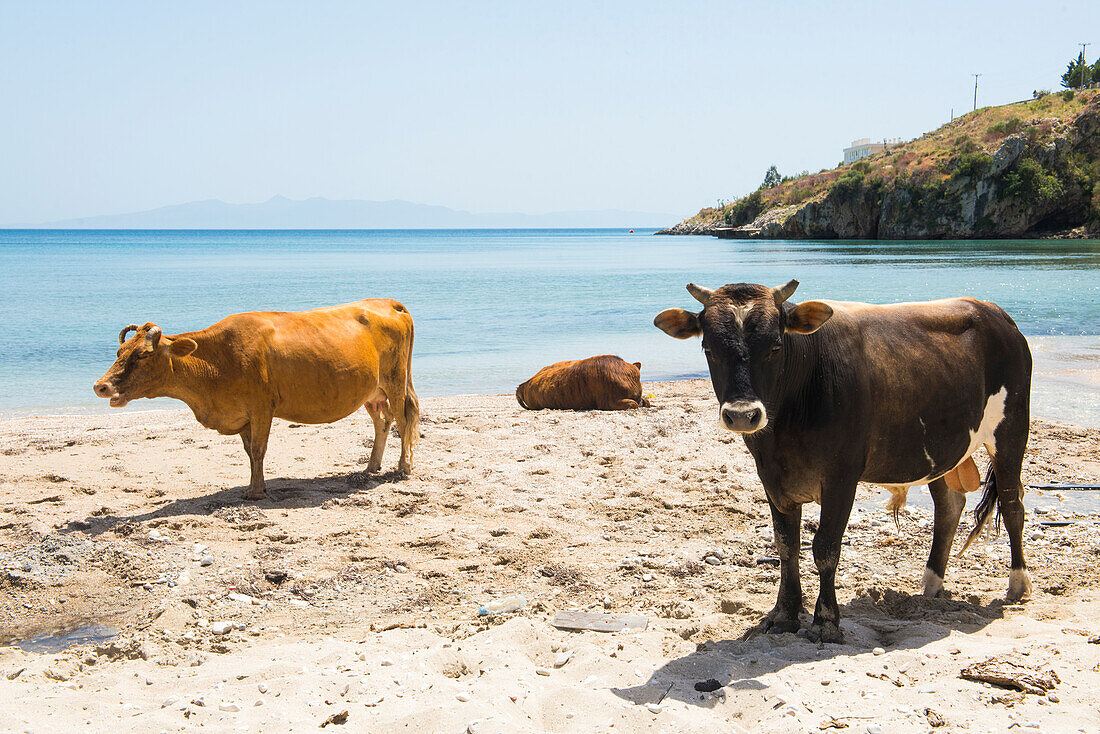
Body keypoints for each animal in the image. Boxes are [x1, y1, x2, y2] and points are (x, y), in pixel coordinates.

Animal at [92, 299, 418, 499]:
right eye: (119, 352)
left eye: (142, 355)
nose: (100, 386)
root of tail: (387, 302)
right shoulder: (243, 415)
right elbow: (250, 452)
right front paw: (252, 485)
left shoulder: (262, 408)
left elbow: (259, 450)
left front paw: (256, 492)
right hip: (372, 391)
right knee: (382, 421)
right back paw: (371, 466)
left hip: (395, 380)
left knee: (403, 420)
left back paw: (403, 467)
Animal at [655, 281, 1034, 642]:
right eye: (709, 349)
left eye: (775, 347)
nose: (742, 415)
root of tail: (995, 313)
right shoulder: (772, 477)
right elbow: (786, 545)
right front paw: (784, 615)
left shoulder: (841, 476)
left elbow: (825, 547)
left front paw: (826, 621)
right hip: (941, 451)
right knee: (949, 506)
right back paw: (930, 585)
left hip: (1012, 428)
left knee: (1013, 504)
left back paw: (1018, 584)